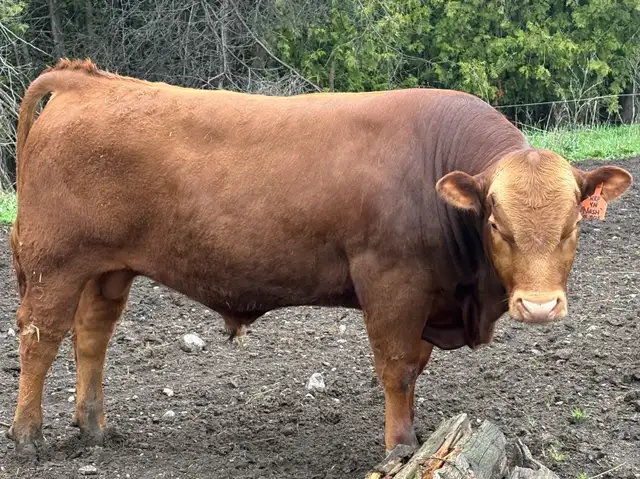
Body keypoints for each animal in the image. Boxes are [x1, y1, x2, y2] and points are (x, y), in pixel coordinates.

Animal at [6, 58, 632, 458]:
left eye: (575, 224)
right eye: (496, 224)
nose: (540, 307)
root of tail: (88, 81)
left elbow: (415, 368)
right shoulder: (390, 283)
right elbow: (397, 369)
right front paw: (400, 448)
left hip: (107, 268)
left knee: (92, 337)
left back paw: (94, 429)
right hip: (53, 263)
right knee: (40, 339)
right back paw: (28, 437)